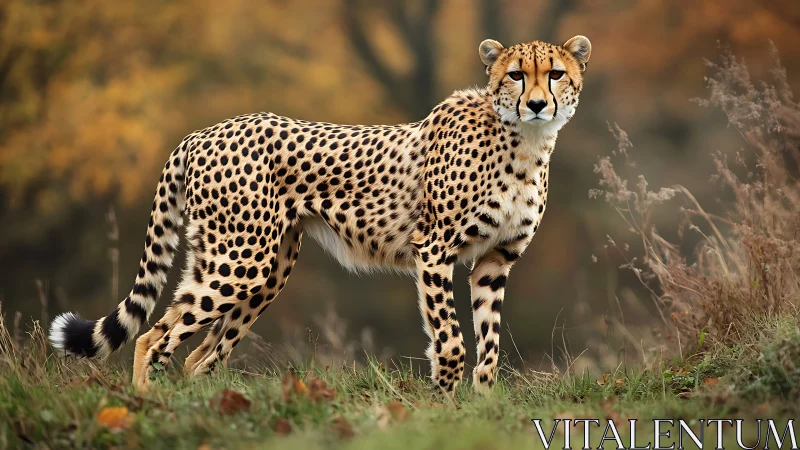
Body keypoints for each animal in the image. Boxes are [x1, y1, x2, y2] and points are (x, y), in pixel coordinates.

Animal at [49, 35, 592, 394]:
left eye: (556, 74)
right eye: (516, 75)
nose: (537, 104)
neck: (525, 143)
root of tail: (204, 131)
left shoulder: (495, 262)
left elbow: (489, 345)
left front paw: (480, 404)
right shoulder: (434, 251)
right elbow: (452, 342)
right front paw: (444, 402)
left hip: (262, 270)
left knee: (200, 355)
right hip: (240, 262)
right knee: (154, 336)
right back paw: (148, 406)